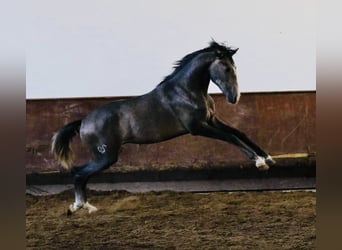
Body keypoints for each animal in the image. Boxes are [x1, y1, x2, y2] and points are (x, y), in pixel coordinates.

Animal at [50, 40, 276, 213]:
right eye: (227, 68)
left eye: (235, 68)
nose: (234, 98)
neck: (186, 91)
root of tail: (83, 121)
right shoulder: (198, 127)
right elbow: (231, 137)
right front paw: (259, 162)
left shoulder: (212, 120)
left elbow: (239, 133)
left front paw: (268, 158)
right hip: (105, 156)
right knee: (79, 173)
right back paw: (80, 206)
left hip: (104, 157)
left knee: (81, 174)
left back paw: (85, 206)